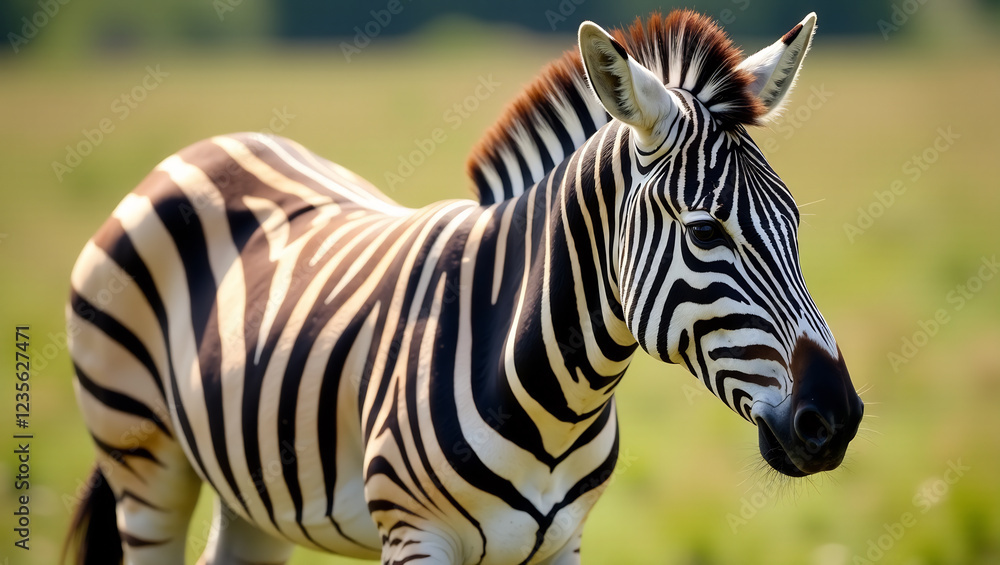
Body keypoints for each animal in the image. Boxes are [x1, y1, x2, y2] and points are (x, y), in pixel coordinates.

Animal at [65, 9, 863, 565]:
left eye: (794, 223)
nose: (837, 417)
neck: (554, 398)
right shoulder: (415, 535)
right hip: (144, 460)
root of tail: (205, 148)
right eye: (704, 232)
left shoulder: (561, 544)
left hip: (252, 492)